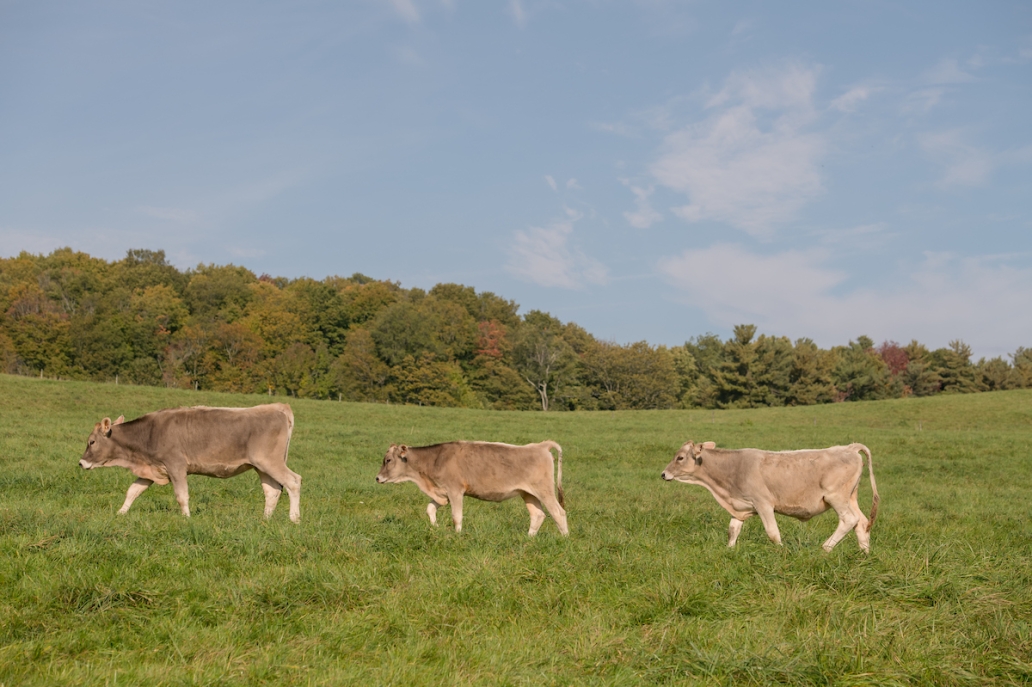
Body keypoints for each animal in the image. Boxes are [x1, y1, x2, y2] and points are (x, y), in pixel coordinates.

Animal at [78, 404, 301, 522]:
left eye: (92, 441)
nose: (81, 463)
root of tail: (277, 407)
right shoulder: (152, 469)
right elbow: (133, 491)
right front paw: (120, 513)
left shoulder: (176, 466)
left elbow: (181, 496)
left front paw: (186, 519)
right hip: (261, 467)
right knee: (272, 491)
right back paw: (265, 519)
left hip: (270, 462)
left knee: (293, 482)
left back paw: (294, 518)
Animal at [375, 440, 568, 536]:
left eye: (388, 460)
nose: (377, 478)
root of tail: (540, 446)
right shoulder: (442, 492)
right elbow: (430, 509)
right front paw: (435, 527)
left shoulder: (455, 491)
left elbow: (456, 516)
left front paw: (458, 535)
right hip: (528, 493)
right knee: (538, 515)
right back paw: (529, 538)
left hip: (544, 490)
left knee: (558, 512)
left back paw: (565, 539)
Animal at [661, 441, 879, 553]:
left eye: (680, 457)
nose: (663, 474)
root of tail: (849, 447)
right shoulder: (740, 505)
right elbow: (733, 531)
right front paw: (729, 551)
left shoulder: (763, 503)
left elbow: (773, 533)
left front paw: (781, 552)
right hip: (851, 497)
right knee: (861, 522)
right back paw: (864, 554)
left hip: (836, 497)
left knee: (849, 520)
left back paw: (826, 548)